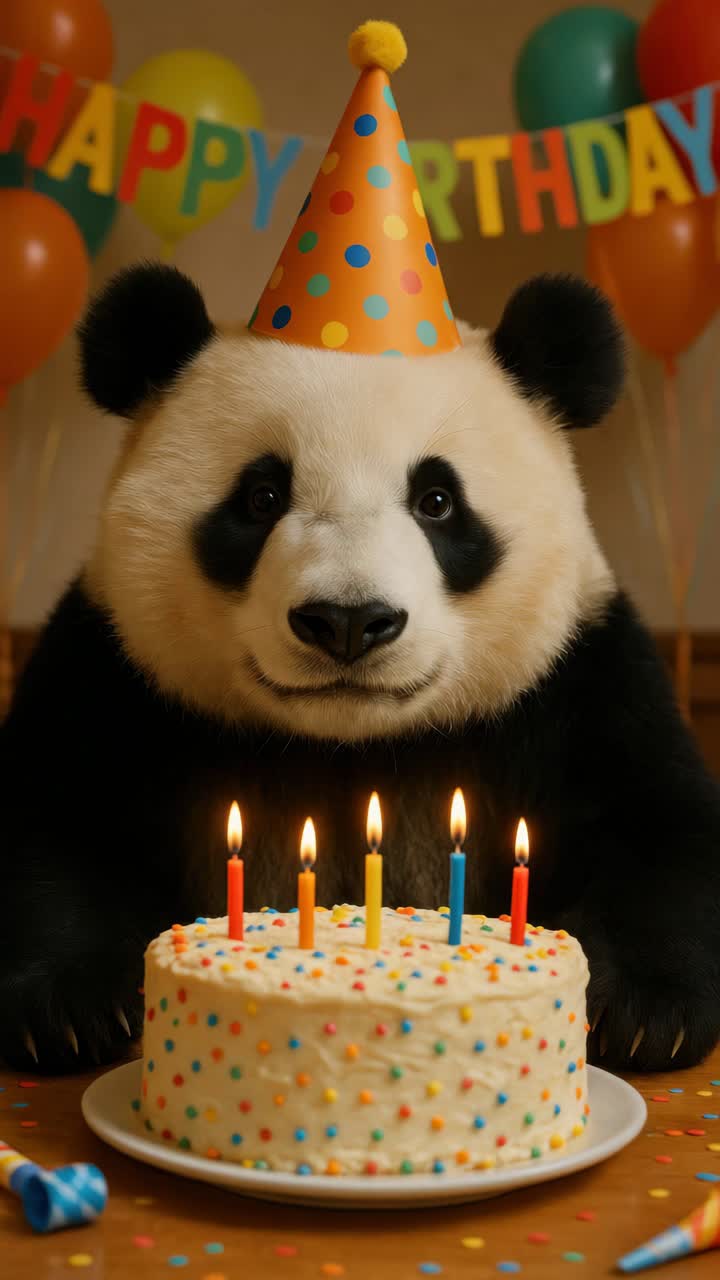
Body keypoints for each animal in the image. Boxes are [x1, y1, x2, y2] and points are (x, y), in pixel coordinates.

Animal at [1, 262, 719, 1076]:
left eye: (437, 500)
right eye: (261, 496)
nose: (347, 620)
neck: (351, 743)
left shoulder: (579, 675)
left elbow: (656, 823)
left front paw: (642, 1014)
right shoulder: (112, 669)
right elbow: (54, 820)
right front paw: (69, 1010)